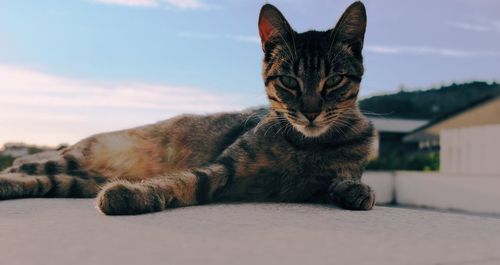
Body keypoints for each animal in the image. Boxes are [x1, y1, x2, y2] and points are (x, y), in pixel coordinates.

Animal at [0, 1, 376, 213]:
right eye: (289, 81)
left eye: (334, 80)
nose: (311, 111)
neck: (305, 145)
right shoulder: (222, 169)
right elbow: (181, 182)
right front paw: (135, 194)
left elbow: (343, 181)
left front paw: (356, 192)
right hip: (78, 157)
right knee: (33, 163)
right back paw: (20, 164)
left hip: (77, 181)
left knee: (44, 180)